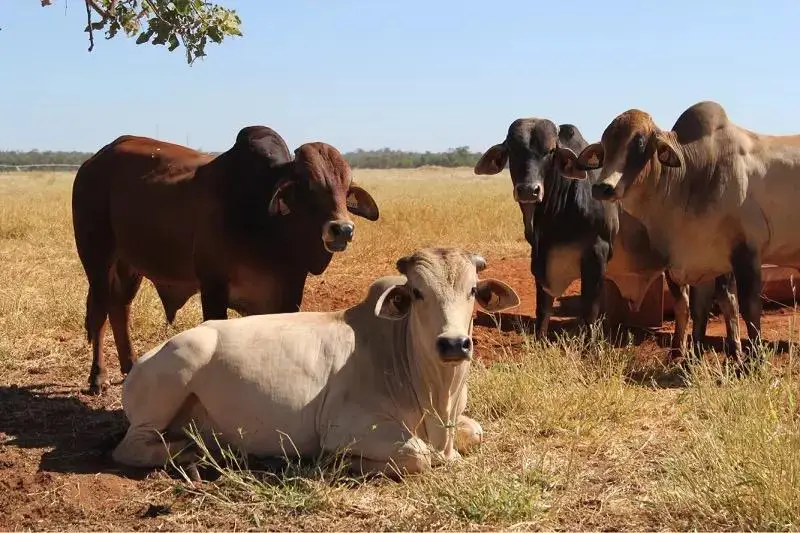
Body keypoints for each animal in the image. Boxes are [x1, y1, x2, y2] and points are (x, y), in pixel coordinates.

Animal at [71, 124, 378, 392]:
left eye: (346, 188)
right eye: (308, 187)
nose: (342, 229)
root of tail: (93, 161)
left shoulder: (289, 291)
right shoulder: (213, 287)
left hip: (129, 265)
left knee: (119, 308)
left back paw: (131, 368)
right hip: (97, 260)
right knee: (99, 313)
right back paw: (97, 377)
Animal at [112, 247, 520, 476]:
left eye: (472, 290)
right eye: (418, 293)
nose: (454, 344)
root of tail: (144, 360)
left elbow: (476, 431)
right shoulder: (344, 427)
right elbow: (419, 455)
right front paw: (340, 463)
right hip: (173, 380)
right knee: (129, 448)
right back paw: (192, 452)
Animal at [564, 101, 800, 358]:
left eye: (639, 143)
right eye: (605, 146)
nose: (603, 187)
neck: (694, 175)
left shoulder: (746, 253)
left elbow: (749, 309)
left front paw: (752, 360)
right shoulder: (702, 261)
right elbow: (696, 309)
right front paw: (690, 356)